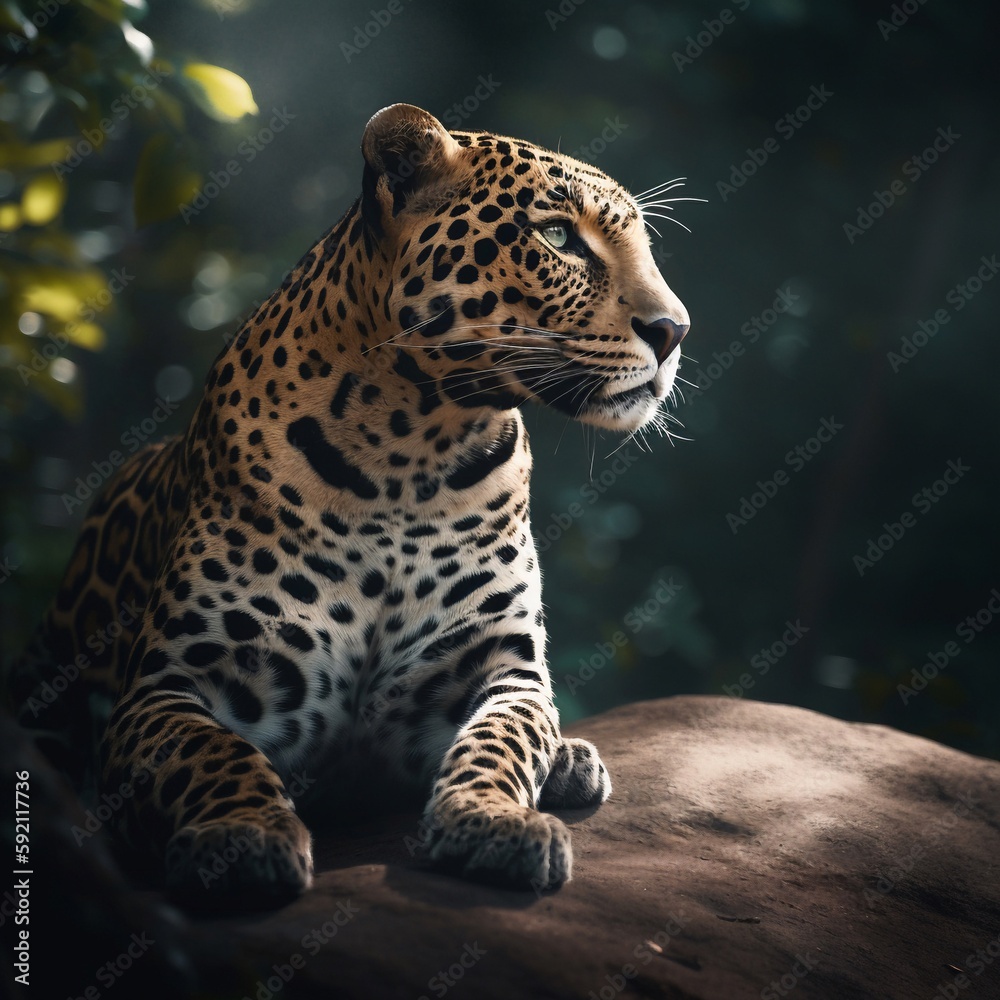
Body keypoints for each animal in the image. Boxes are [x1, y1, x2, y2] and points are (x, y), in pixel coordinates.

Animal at [7, 103, 691, 909]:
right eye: (556, 236)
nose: (675, 331)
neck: (410, 454)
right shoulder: (167, 686)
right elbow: (213, 754)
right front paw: (243, 836)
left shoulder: (502, 668)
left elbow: (504, 740)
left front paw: (493, 820)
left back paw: (571, 760)